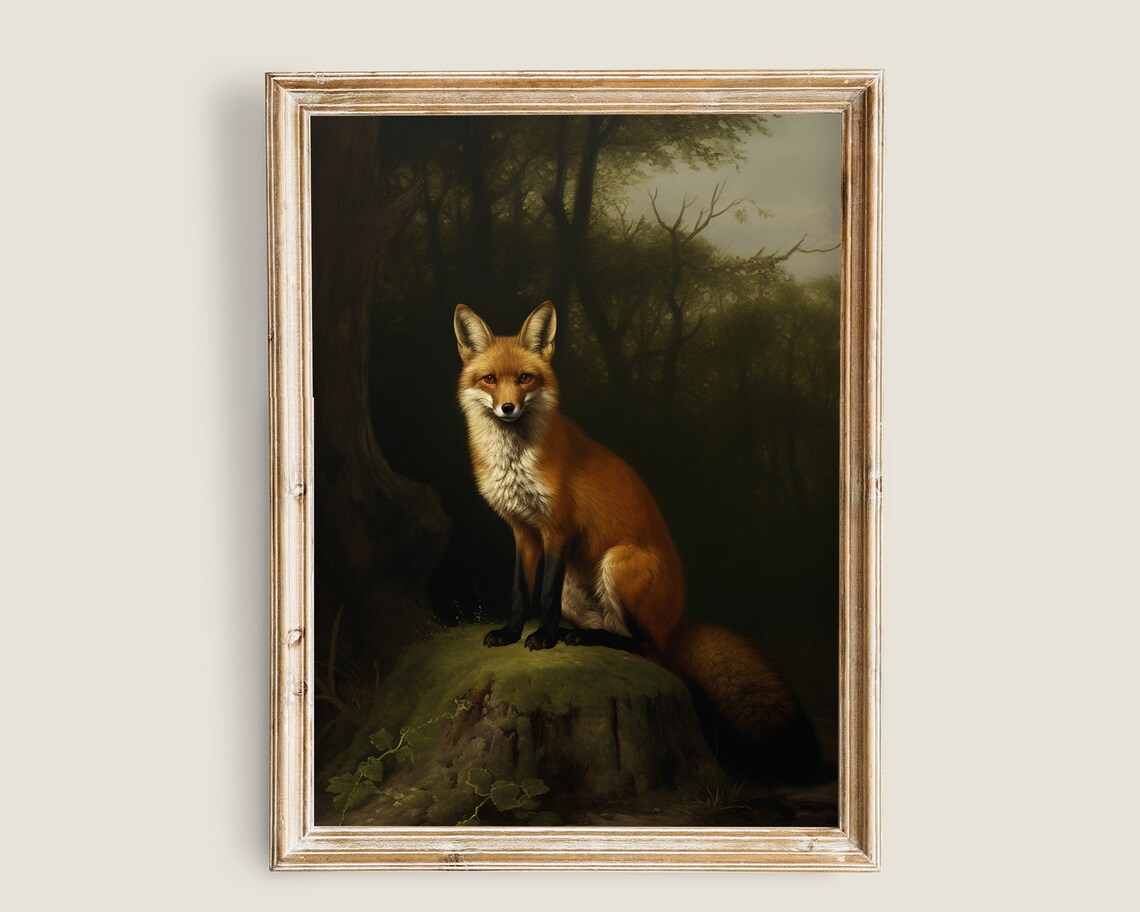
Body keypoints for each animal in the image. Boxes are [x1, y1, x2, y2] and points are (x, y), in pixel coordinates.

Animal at [454, 300, 821, 779]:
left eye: (526, 378)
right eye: (490, 379)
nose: (509, 408)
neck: (514, 460)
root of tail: (676, 622)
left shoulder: (558, 529)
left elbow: (543, 595)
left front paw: (544, 638)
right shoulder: (523, 531)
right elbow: (521, 592)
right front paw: (512, 633)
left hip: (619, 562)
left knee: (649, 650)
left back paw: (581, 640)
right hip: (583, 590)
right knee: (626, 640)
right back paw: (585, 637)